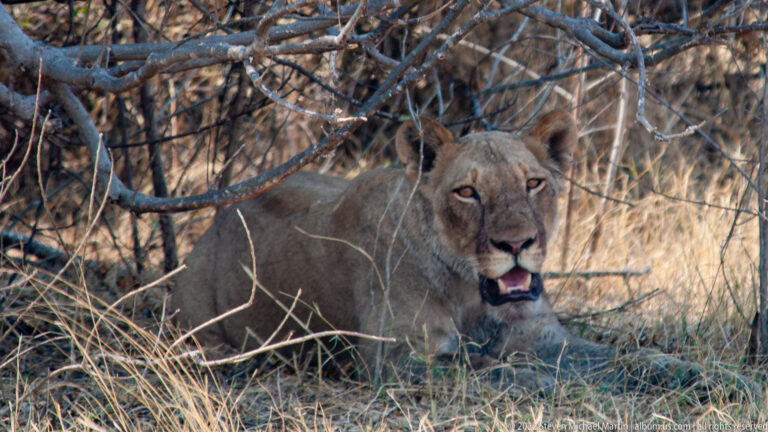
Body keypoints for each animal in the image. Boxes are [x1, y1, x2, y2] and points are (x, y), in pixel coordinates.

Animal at [172, 110, 757, 395]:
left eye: (533, 183)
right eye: (468, 192)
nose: (517, 244)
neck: (471, 291)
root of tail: (217, 218)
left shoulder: (542, 336)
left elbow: (631, 357)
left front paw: (715, 377)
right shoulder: (399, 359)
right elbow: (478, 366)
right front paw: (534, 381)